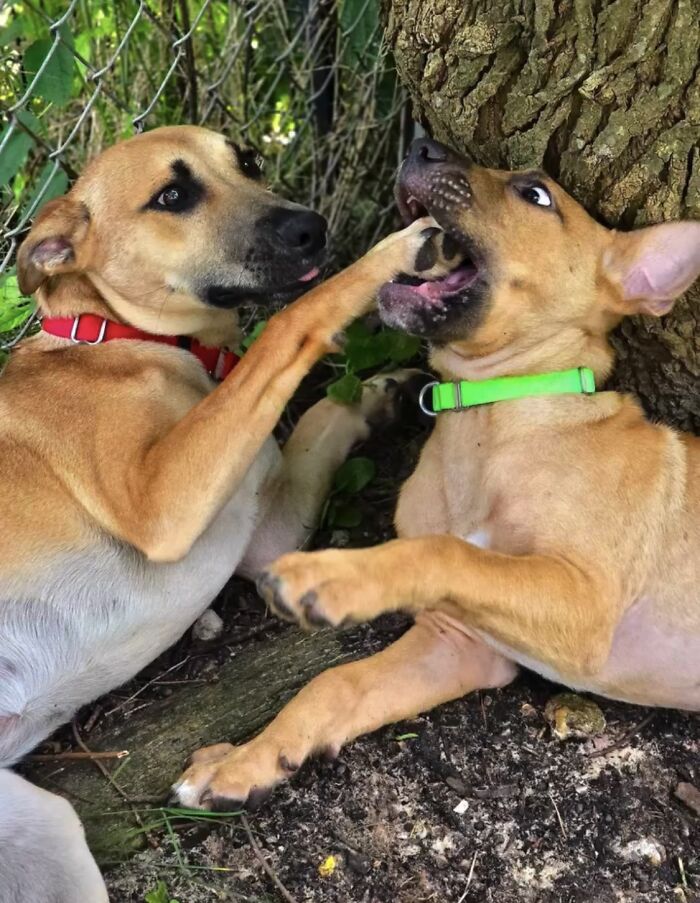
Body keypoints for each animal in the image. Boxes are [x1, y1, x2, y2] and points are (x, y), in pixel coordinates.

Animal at [0, 125, 448, 896]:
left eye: (250, 161)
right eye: (172, 195)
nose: (311, 226)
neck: (126, 338)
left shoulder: (266, 533)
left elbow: (314, 420)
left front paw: (379, 394)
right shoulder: (160, 502)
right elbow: (292, 321)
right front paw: (384, 258)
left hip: (41, 832)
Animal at [172, 139, 696, 812]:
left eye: (537, 194)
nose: (422, 146)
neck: (490, 415)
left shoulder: (586, 603)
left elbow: (448, 551)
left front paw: (333, 576)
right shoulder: (459, 642)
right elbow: (333, 684)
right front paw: (248, 761)